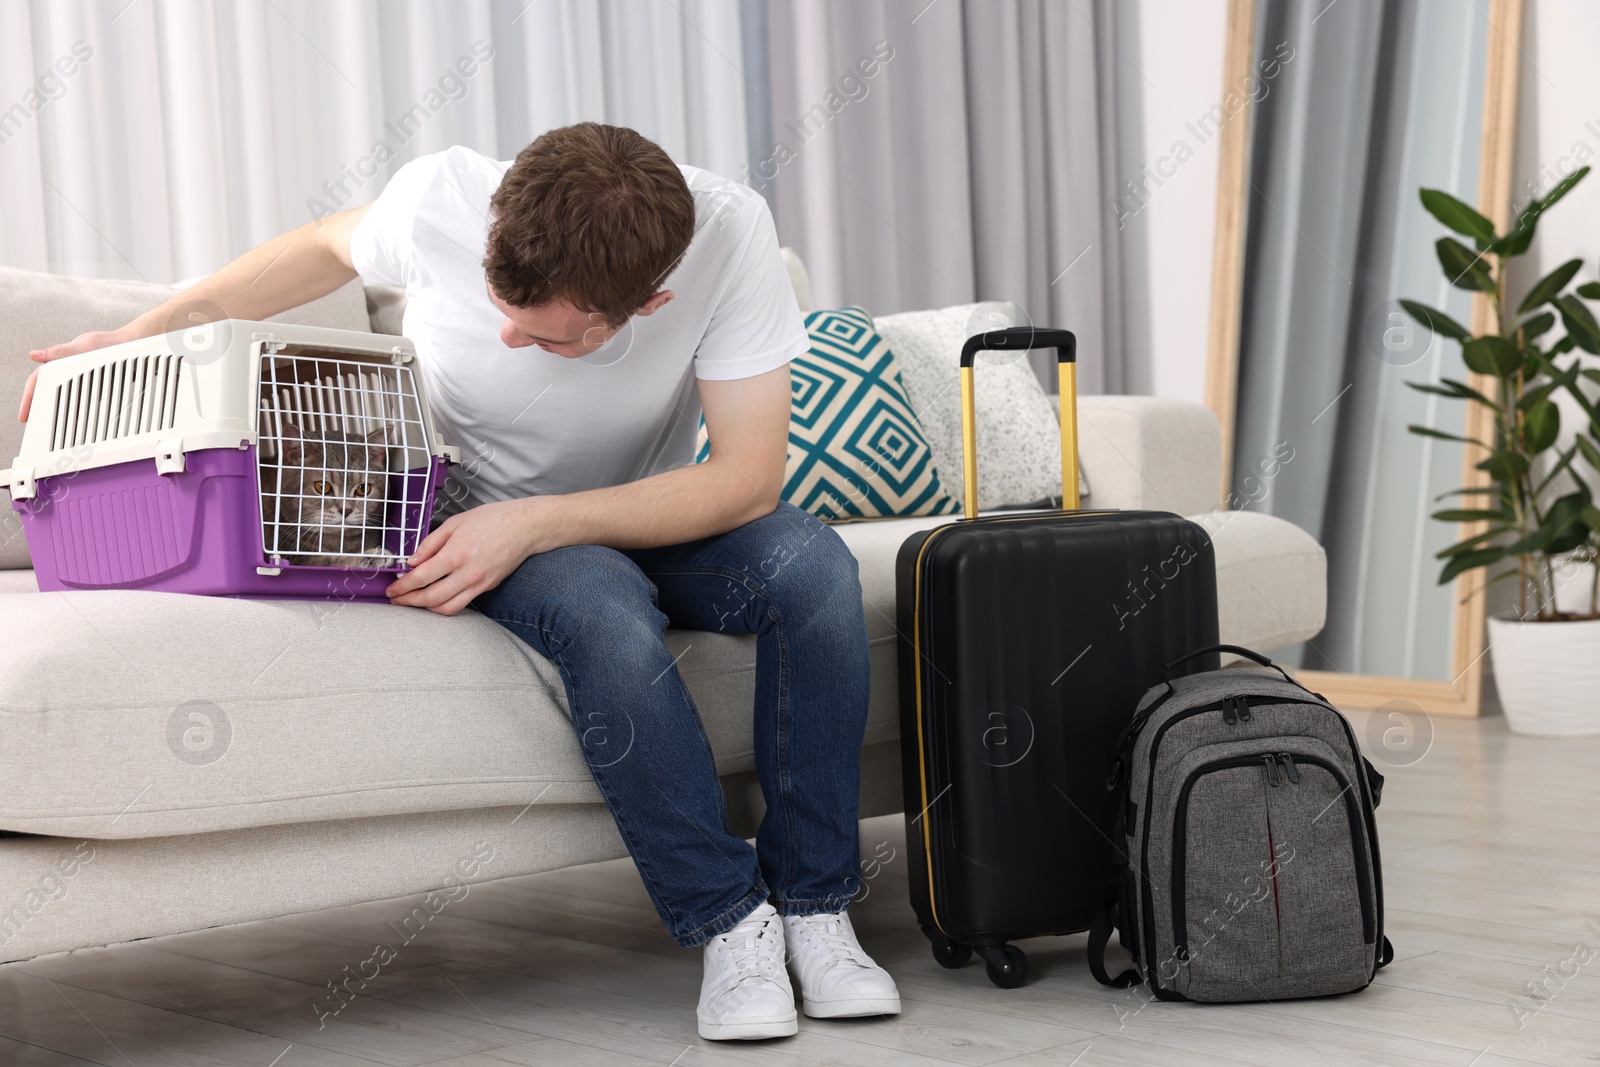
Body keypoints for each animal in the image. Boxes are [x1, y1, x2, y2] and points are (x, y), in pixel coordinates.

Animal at [264, 422, 395, 566]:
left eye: (363, 488)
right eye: (322, 487)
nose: (346, 510)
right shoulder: (296, 558)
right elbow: (331, 561)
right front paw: (372, 557)